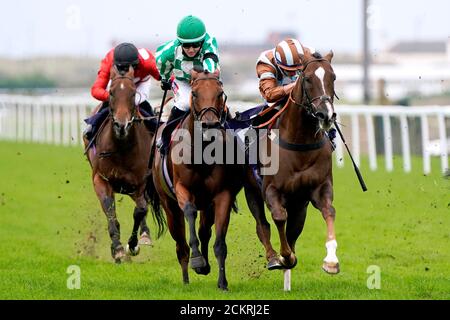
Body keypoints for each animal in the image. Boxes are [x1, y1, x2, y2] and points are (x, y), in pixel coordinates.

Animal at [83, 65, 164, 262]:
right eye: (111, 92)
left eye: (133, 93)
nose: (121, 125)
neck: (122, 147)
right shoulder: (101, 179)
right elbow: (110, 211)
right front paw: (118, 248)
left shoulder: (141, 182)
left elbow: (140, 210)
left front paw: (133, 244)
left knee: (142, 206)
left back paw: (144, 236)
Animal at [258, 48, 340, 274]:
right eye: (308, 78)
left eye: (333, 77)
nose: (326, 115)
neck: (300, 142)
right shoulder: (271, 189)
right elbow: (279, 217)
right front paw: (284, 257)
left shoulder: (319, 188)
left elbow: (329, 211)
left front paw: (331, 260)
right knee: (262, 224)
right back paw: (273, 258)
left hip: (299, 204)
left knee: (294, 230)